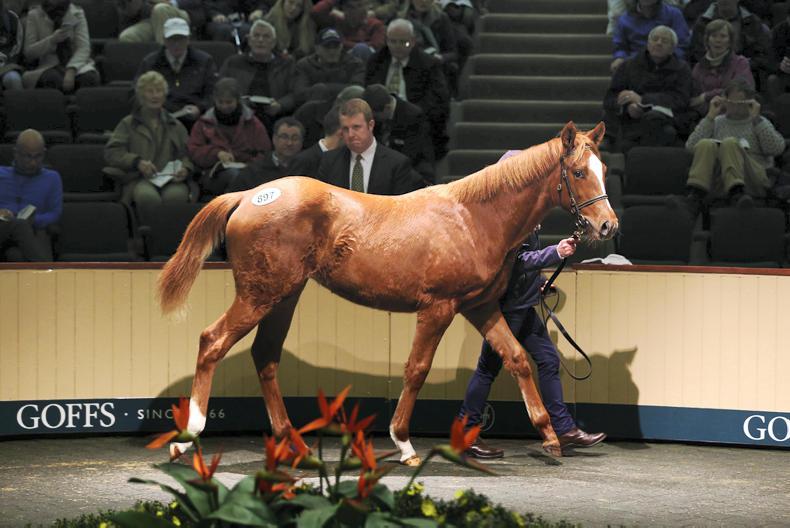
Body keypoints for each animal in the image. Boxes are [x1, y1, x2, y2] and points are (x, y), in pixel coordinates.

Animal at [157, 121, 618, 464]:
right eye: (579, 172)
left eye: (604, 171)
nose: (607, 226)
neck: (472, 218)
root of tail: (249, 196)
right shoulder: (438, 308)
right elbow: (416, 369)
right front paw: (404, 443)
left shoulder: (480, 306)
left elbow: (518, 358)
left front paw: (550, 436)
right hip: (259, 297)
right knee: (212, 341)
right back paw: (186, 438)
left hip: (283, 298)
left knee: (265, 357)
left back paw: (297, 446)